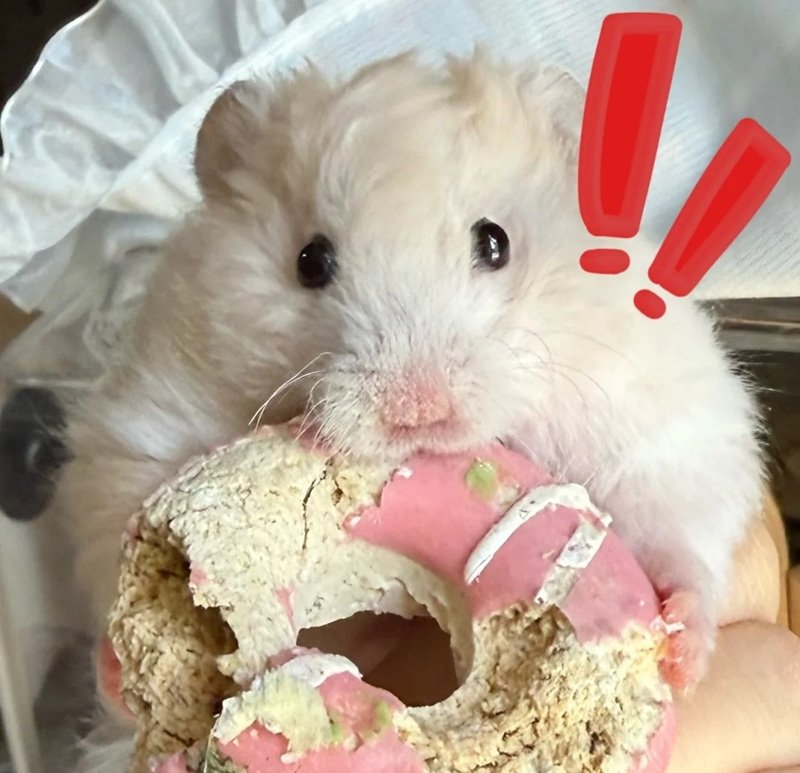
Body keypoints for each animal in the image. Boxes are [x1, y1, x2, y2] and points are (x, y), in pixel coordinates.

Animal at [57, 51, 763, 704]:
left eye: (496, 242)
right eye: (310, 260)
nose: (417, 411)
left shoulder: (660, 415)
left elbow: (679, 526)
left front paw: (678, 651)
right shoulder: (146, 420)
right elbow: (113, 527)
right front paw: (115, 671)